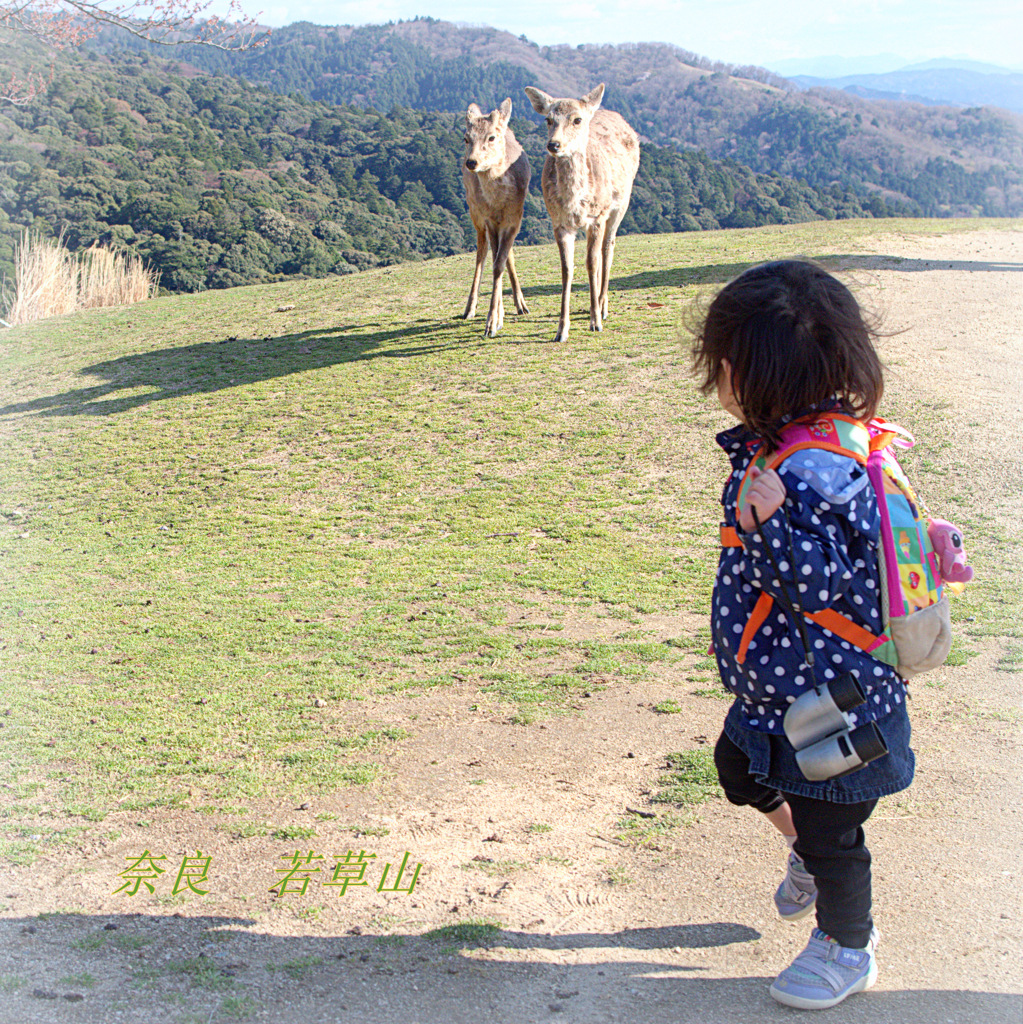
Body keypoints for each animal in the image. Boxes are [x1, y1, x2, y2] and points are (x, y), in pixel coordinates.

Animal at [460, 97, 532, 335]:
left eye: (491, 137)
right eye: (466, 137)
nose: (471, 162)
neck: (499, 202)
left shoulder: (515, 217)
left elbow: (500, 261)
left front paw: (494, 320)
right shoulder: (489, 219)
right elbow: (494, 260)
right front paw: (494, 320)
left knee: (505, 254)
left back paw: (521, 305)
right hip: (473, 209)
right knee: (482, 250)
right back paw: (469, 308)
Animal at [528, 82, 638, 344]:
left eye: (577, 119)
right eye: (548, 119)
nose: (554, 145)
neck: (575, 203)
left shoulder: (596, 217)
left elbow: (591, 262)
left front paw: (595, 321)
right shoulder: (559, 223)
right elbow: (567, 269)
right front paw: (561, 329)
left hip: (621, 204)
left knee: (607, 249)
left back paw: (602, 305)